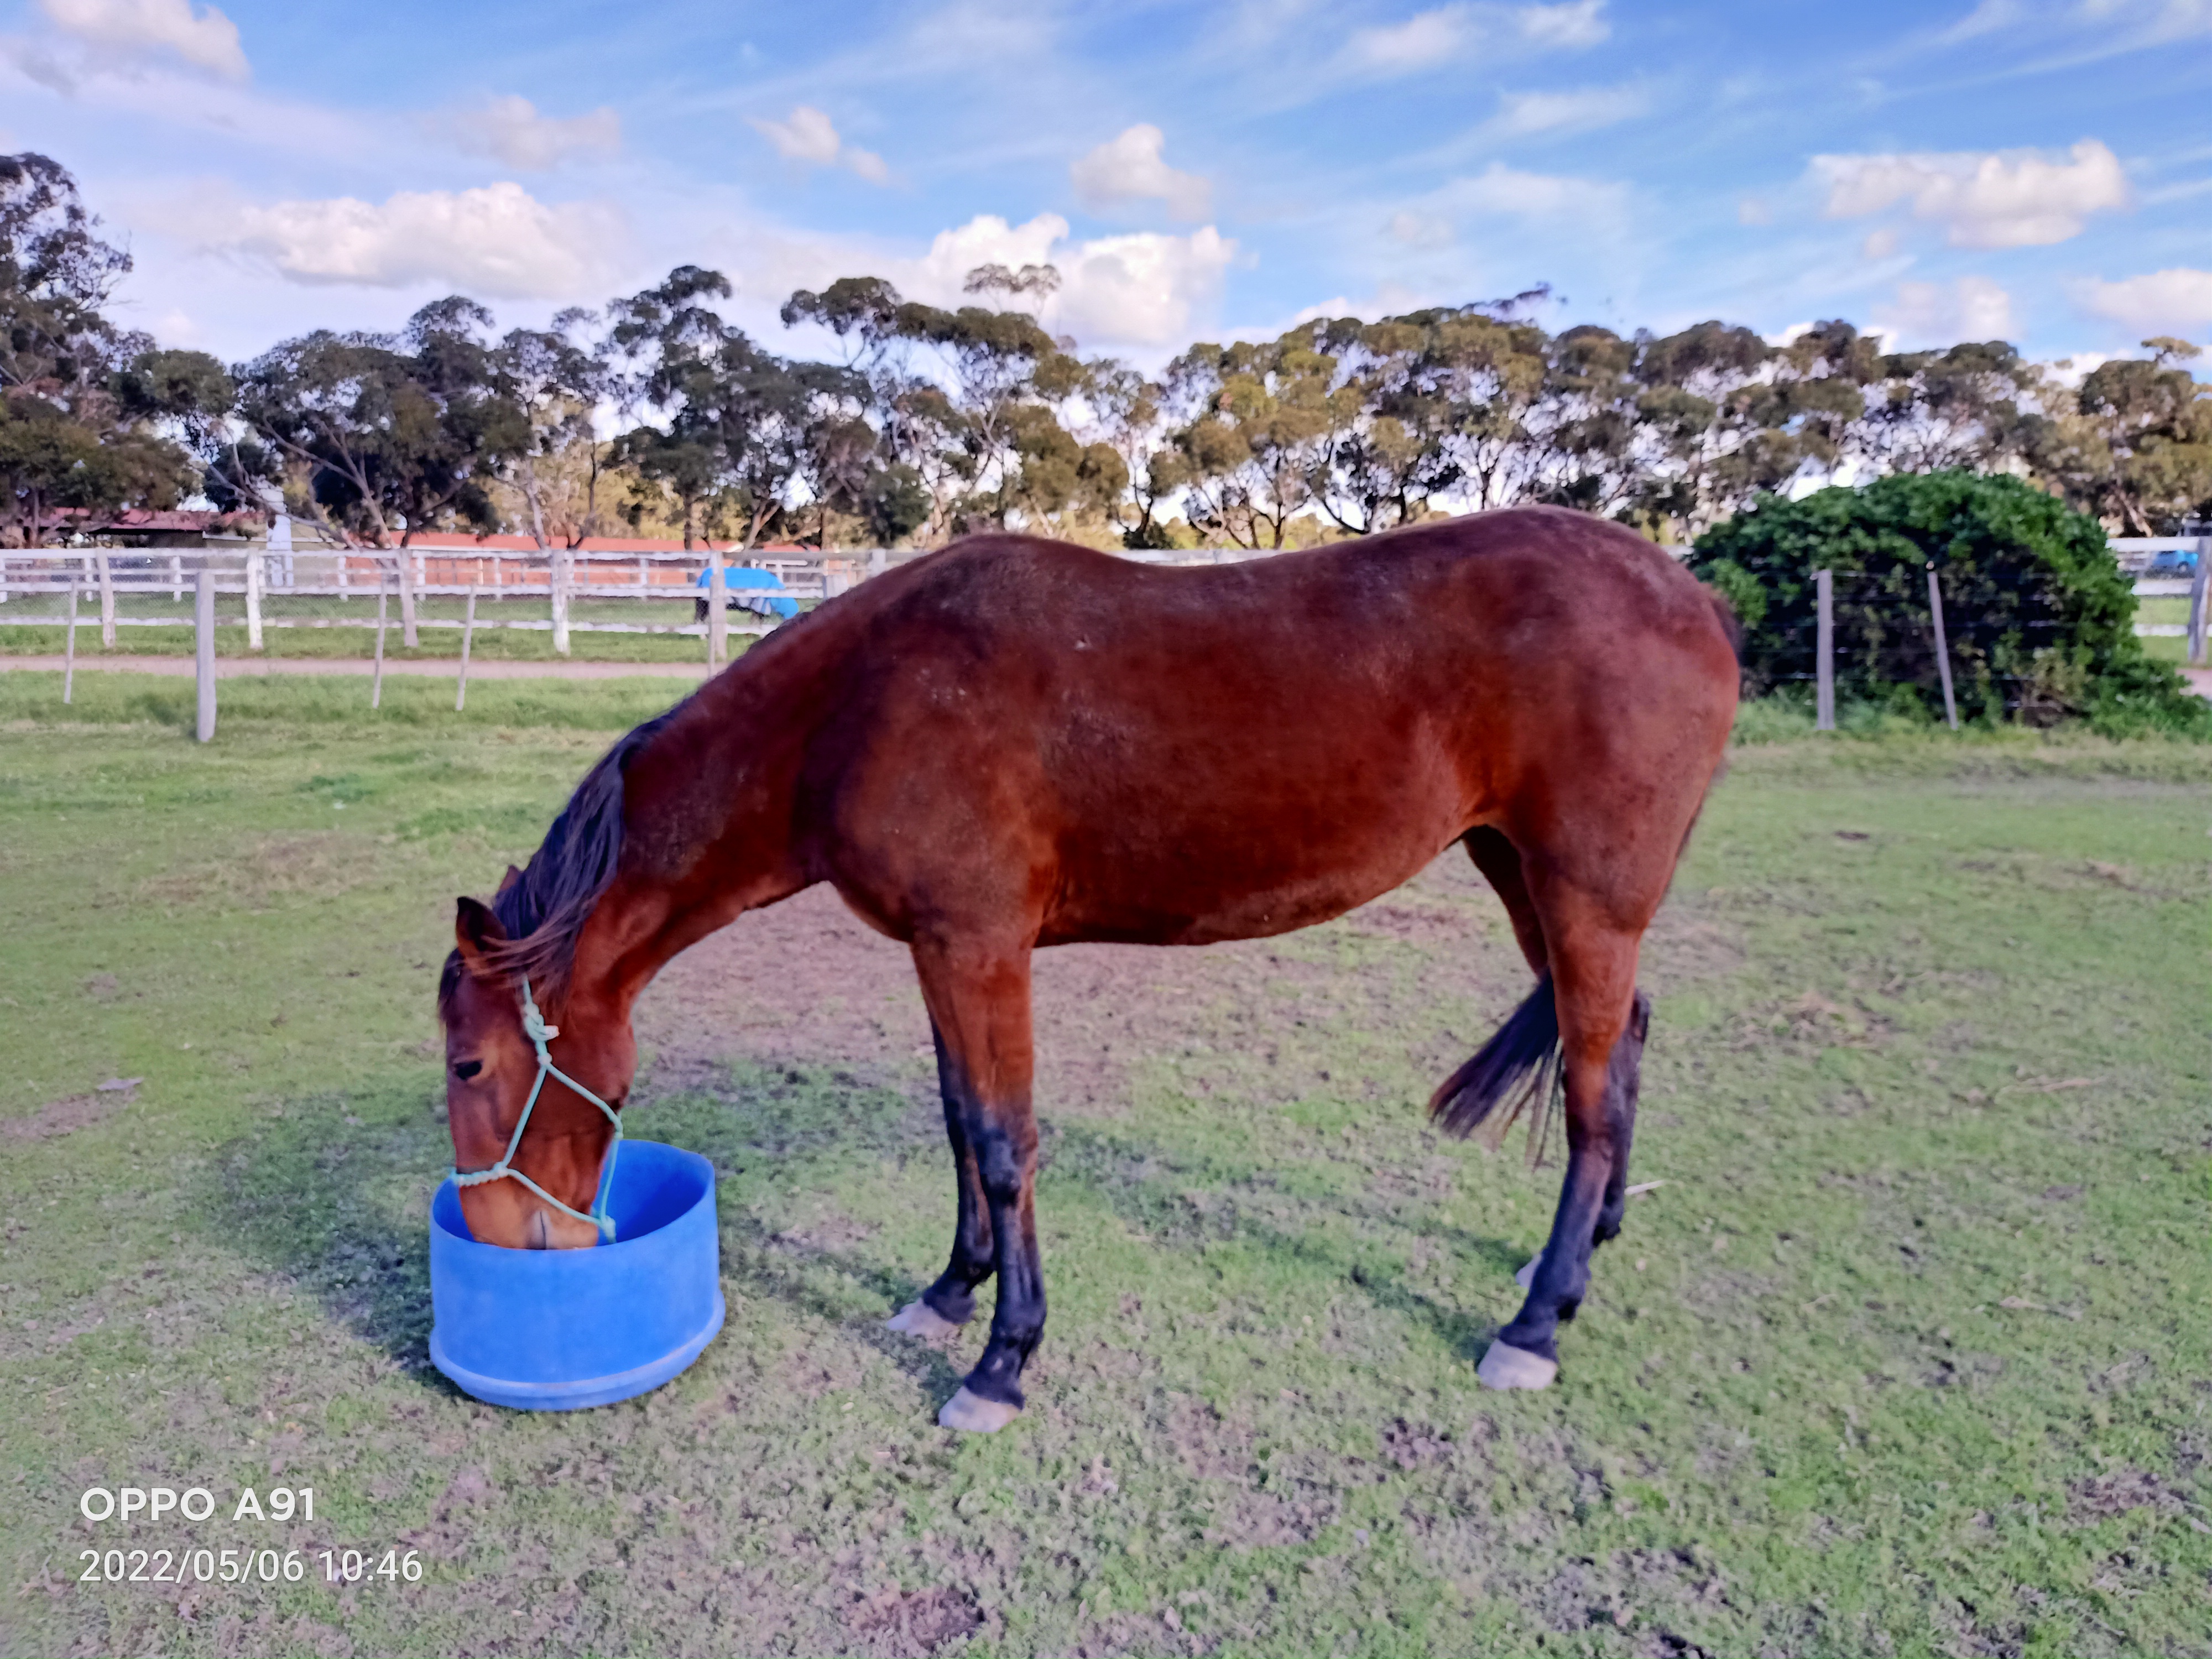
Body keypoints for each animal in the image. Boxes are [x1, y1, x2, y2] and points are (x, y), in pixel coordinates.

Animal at [437, 507, 1740, 1432]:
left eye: (468, 1066)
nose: (497, 1234)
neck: (861, 701)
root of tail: (1692, 598)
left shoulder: (979, 948)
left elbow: (1005, 1141)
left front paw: (1000, 1363)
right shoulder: (939, 949)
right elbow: (960, 1123)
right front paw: (949, 1293)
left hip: (1582, 895)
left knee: (1589, 1087)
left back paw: (1535, 1324)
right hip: (1522, 876)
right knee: (1618, 1043)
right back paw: (1580, 1253)